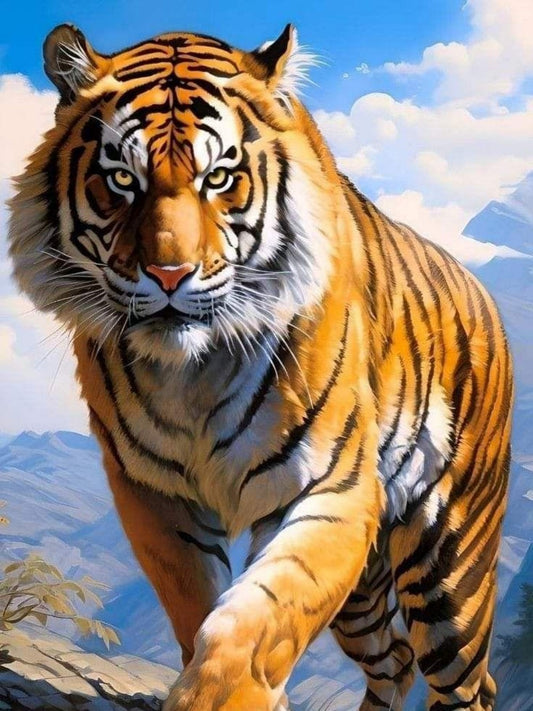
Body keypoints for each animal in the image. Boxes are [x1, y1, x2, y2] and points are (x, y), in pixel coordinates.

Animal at [8, 22, 513, 711]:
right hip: (363, 603)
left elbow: (253, 625)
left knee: (465, 681)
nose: (169, 273)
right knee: (393, 658)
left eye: (220, 177)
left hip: (450, 569)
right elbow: (200, 611)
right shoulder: (156, 495)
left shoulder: (331, 489)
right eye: (122, 180)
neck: (190, 374)